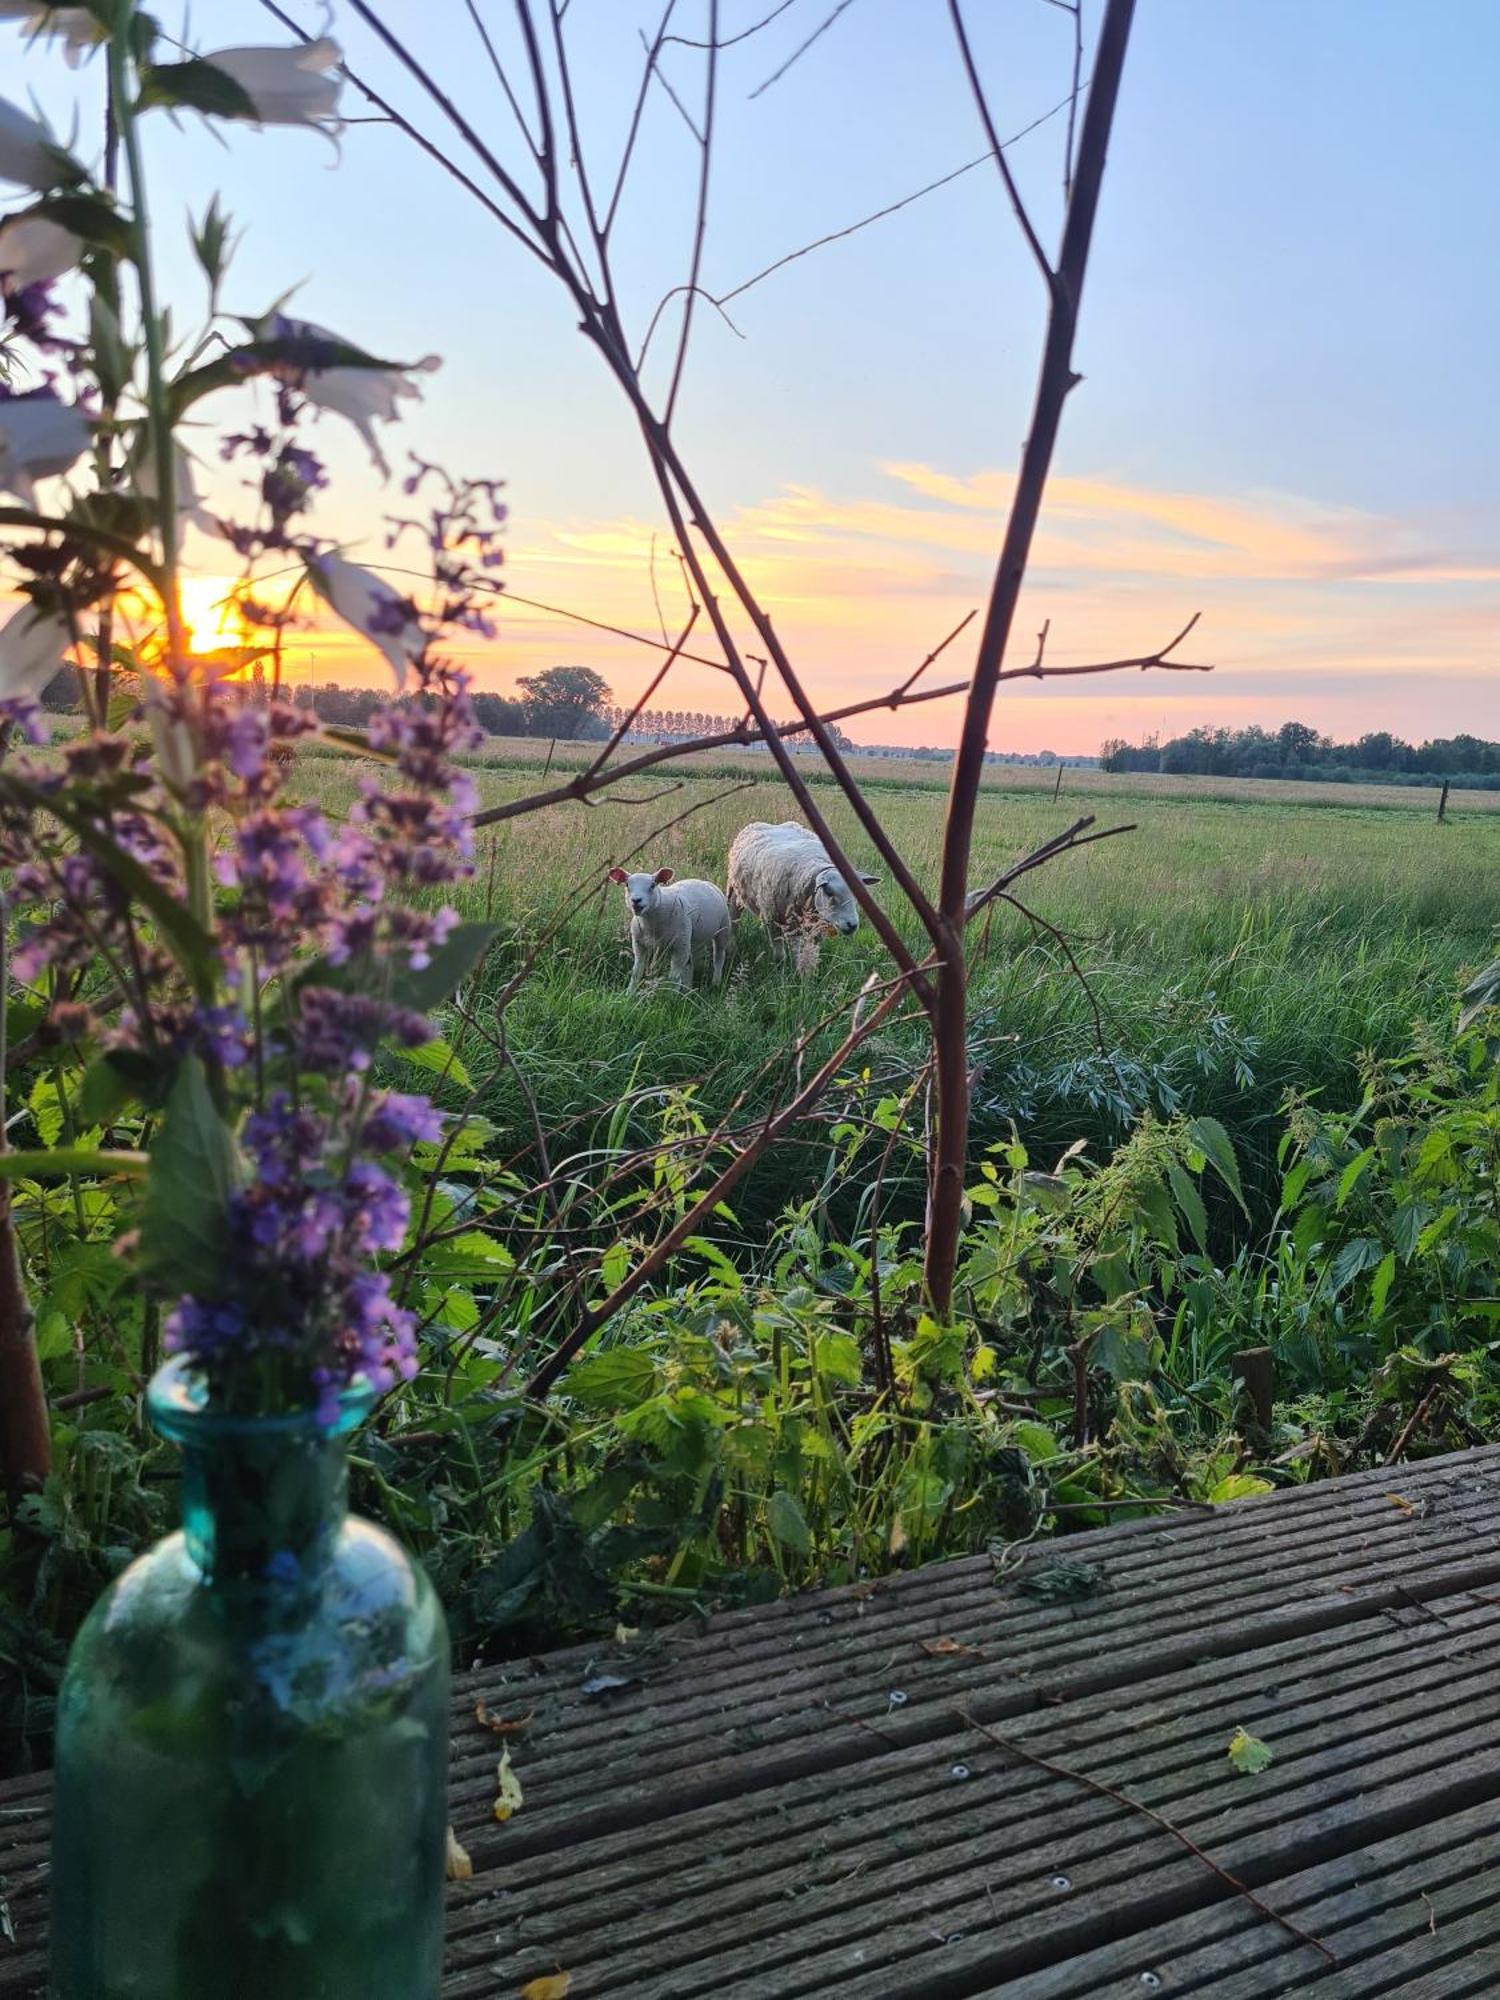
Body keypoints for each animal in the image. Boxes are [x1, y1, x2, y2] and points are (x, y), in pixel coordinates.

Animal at [728, 812, 880, 968]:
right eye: (829, 892)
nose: (852, 925)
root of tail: (771, 824)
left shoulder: (816, 926)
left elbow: (810, 953)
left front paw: (807, 971)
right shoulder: (773, 917)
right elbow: (784, 953)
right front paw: (785, 968)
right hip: (734, 890)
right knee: (734, 917)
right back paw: (731, 944)